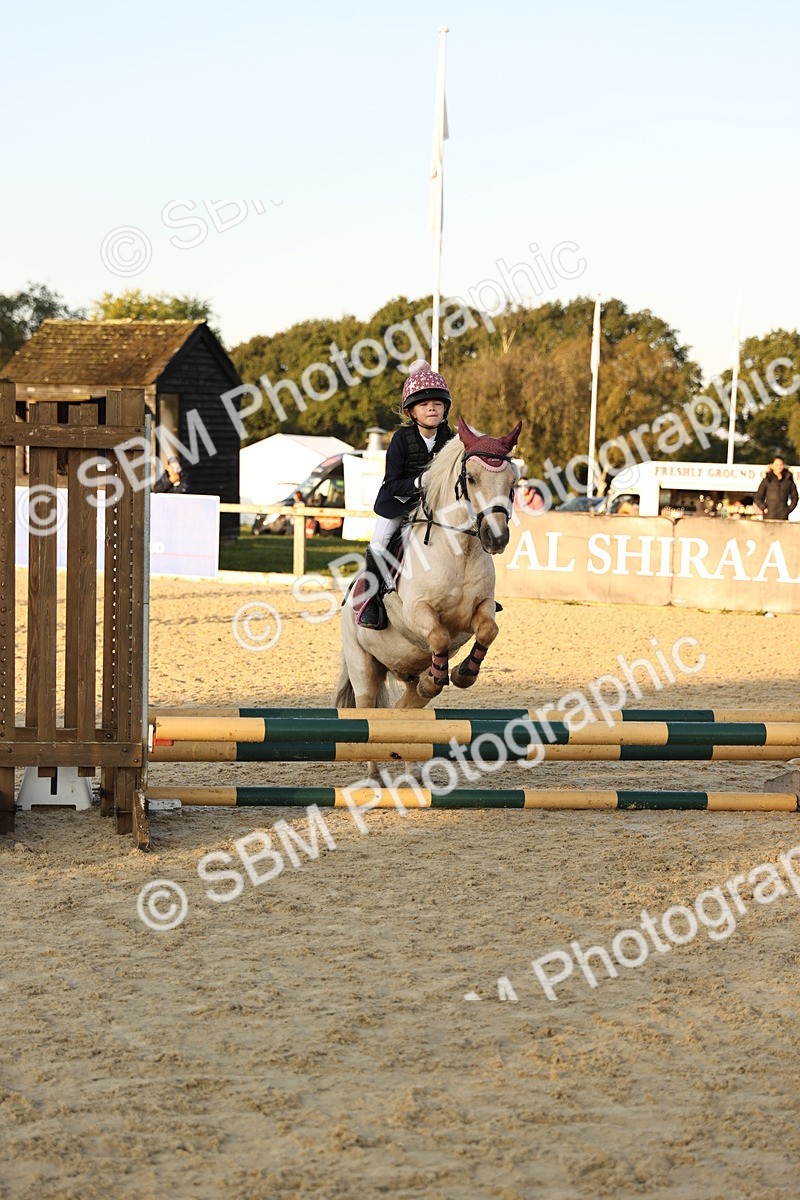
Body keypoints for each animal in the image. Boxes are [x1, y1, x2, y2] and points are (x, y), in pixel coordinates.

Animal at [335, 416, 522, 730]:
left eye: (513, 481)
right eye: (471, 478)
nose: (496, 539)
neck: (460, 552)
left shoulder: (481, 608)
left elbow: (488, 630)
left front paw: (462, 673)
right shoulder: (416, 610)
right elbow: (439, 636)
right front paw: (435, 680)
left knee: (404, 707)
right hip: (362, 666)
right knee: (368, 705)